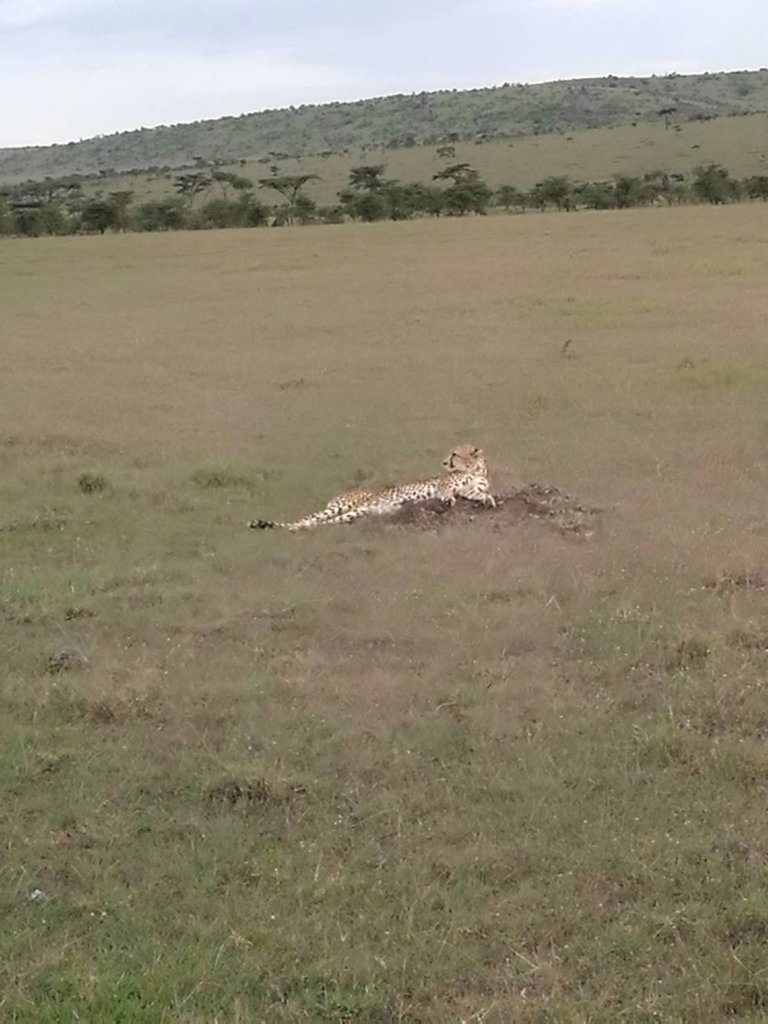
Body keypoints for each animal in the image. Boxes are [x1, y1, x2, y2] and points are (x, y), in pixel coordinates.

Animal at [249, 442, 495, 532]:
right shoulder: (446, 486)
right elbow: (446, 492)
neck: (475, 470)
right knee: (308, 520)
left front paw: (488, 499)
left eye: (455, 454)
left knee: (322, 523)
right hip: (343, 507)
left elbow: (477, 493)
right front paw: (448, 499)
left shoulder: (470, 489)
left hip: (357, 512)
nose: (444, 462)